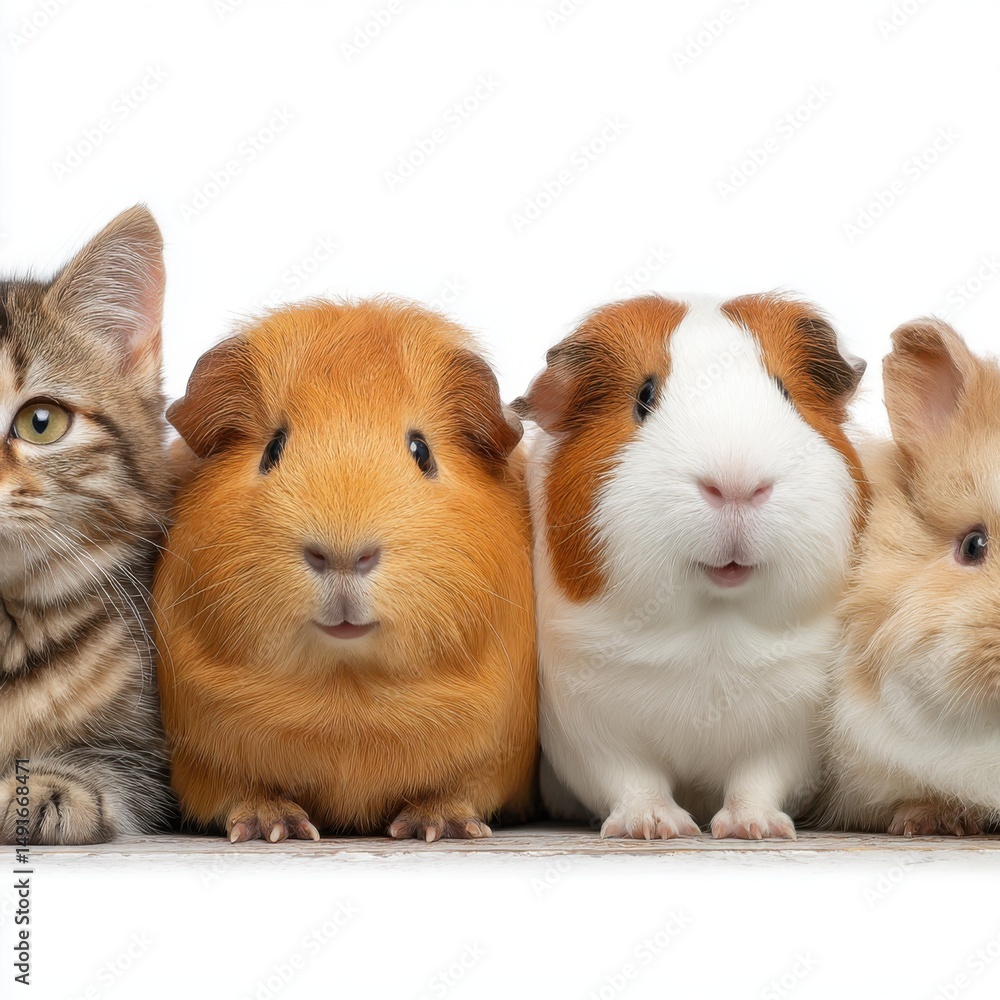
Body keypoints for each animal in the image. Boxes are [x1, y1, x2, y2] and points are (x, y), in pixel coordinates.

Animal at [154, 298, 538, 842]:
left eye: (422, 451)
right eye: (273, 449)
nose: (341, 555)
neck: (346, 696)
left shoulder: (496, 753)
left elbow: (460, 787)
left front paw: (437, 826)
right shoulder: (201, 758)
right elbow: (238, 790)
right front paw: (275, 827)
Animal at [512, 293, 867, 840]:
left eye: (786, 392)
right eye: (643, 397)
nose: (737, 484)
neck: (713, 627)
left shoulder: (793, 729)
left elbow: (757, 780)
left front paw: (754, 829)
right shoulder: (587, 723)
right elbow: (633, 779)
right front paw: (654, 827)